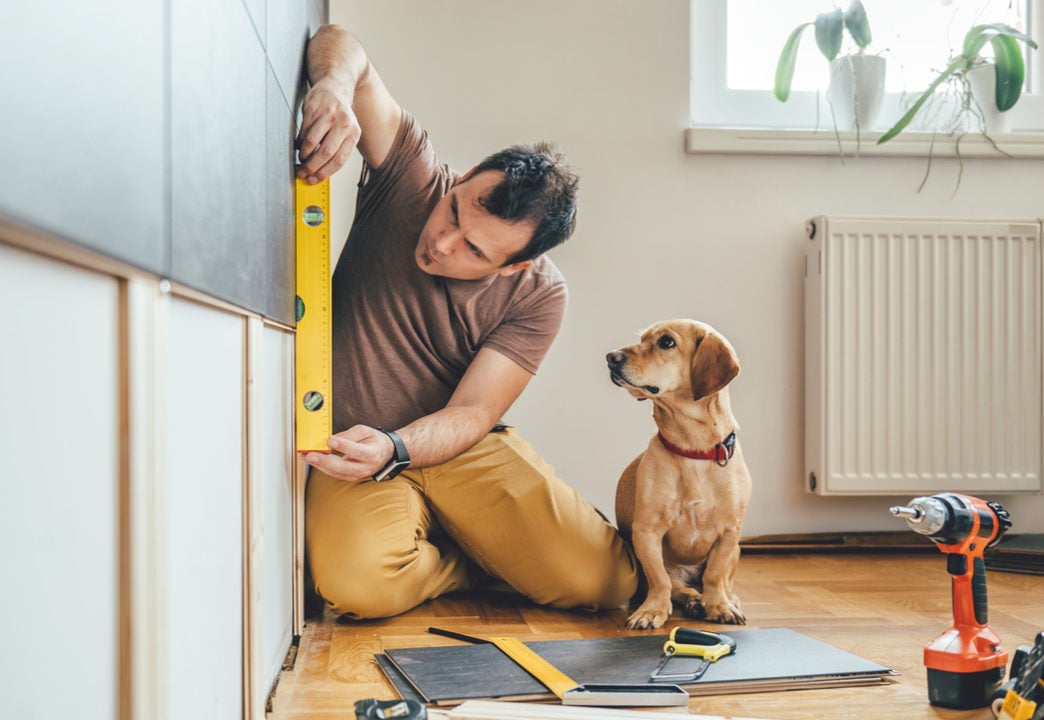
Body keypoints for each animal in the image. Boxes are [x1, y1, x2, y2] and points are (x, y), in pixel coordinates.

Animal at [609, 319, 755, 626]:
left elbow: (715, 575)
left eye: (666, 342)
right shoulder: (647, 531)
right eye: (642, 339)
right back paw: (693, 600)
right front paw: (652, 610)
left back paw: (725, 600)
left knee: (723, 581)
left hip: (736, 550)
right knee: (678, 586)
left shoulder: (730, 532)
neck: (693, 450)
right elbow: (660, 580)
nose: (611, 357)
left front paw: (719, 606)